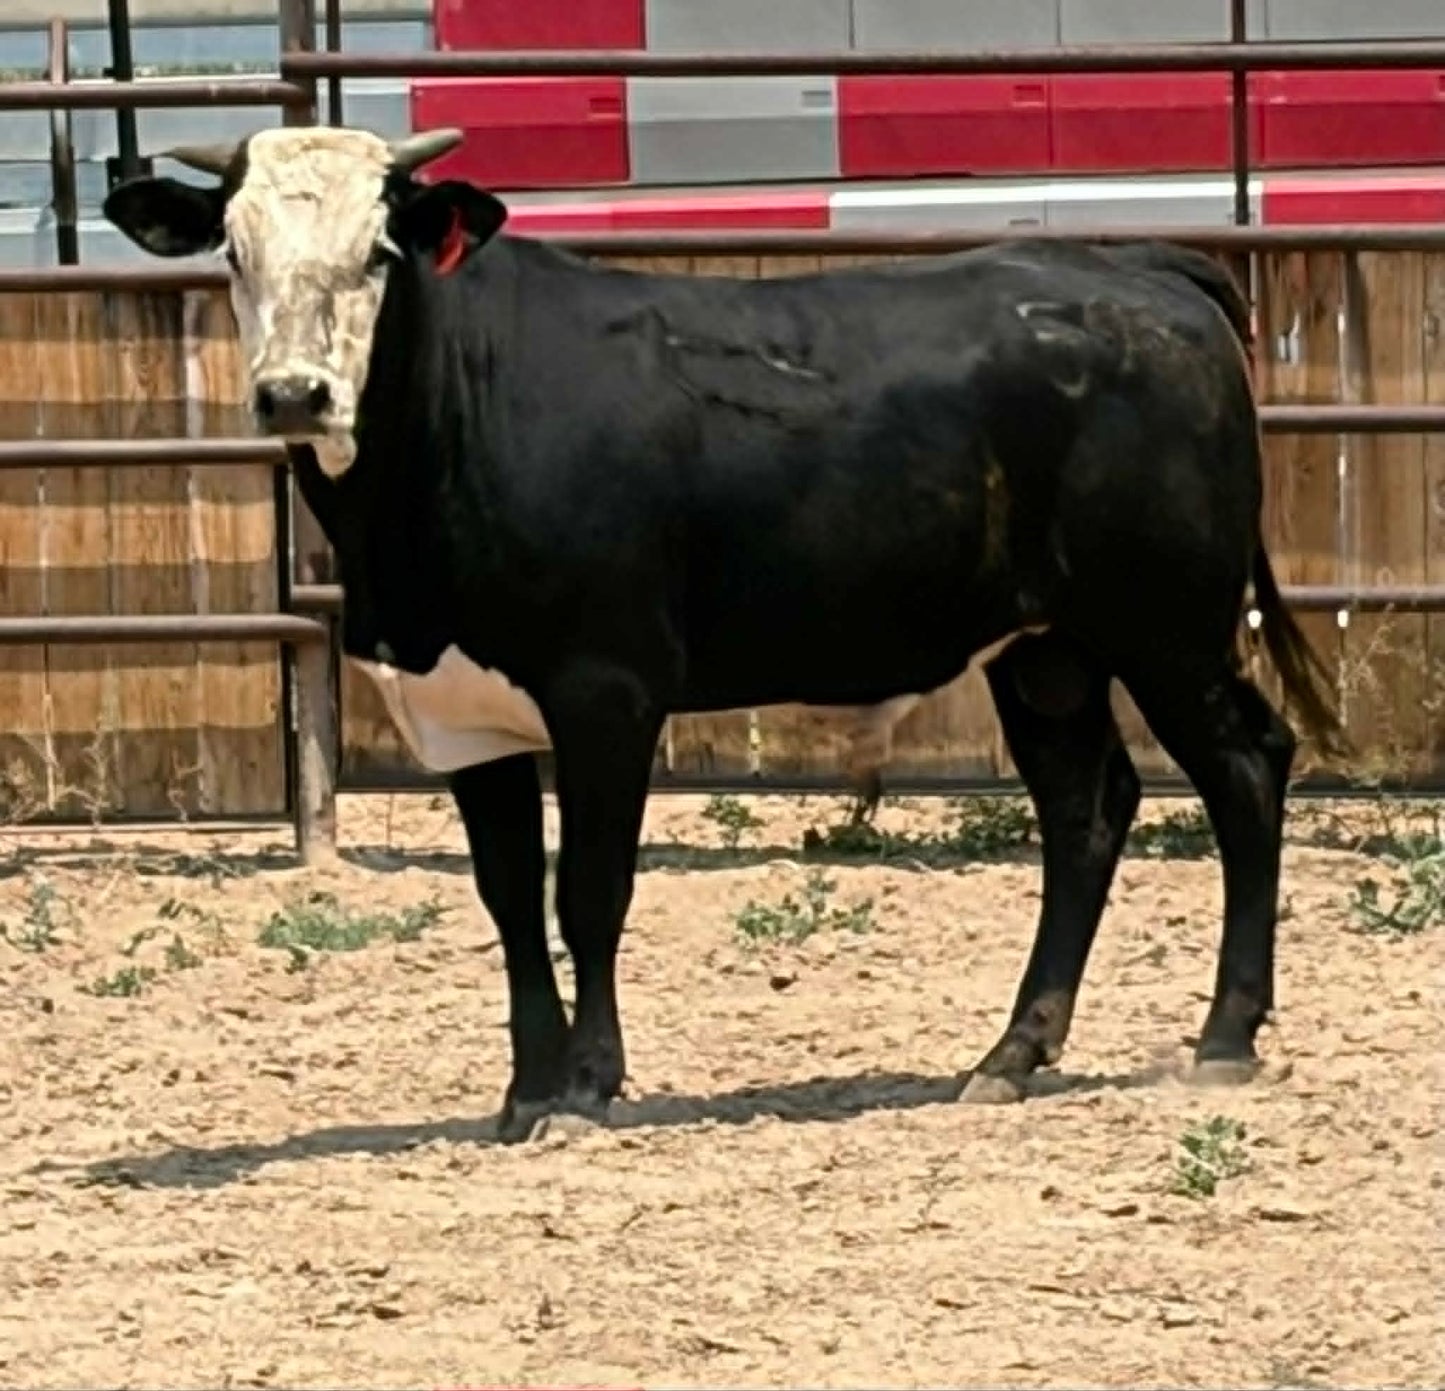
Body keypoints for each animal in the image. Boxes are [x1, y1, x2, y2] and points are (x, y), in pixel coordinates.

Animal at [103, 125, 1347, 1140]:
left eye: (377, 253)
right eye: (233, 252)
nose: (295, 393)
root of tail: (1138, 271)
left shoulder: (605, 691)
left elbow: (587, 890)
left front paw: (586, 1084)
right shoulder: (465, 713)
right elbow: (509, 899)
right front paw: (523, 1089)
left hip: (1166, 625)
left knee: (1244, 766)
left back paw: (1221, 1035)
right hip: (1045, 650)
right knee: (1084, 811)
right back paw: (1011, 1051)